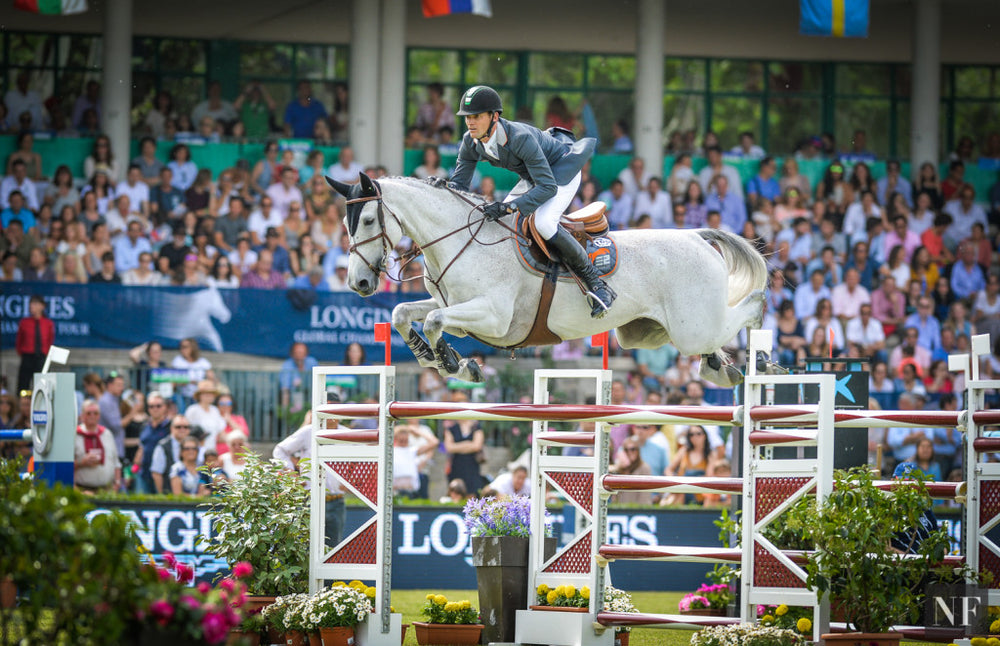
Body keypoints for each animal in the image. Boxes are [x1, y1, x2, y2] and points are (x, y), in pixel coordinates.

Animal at [326, 173, 769, 388]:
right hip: (643, 335)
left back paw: (762, 343)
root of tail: (696, 236)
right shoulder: (451, 304)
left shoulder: (495, 318)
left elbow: (434, 322)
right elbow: (404, 313)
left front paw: (453, 362)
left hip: (691, 328)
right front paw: (432, 357)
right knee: (712, 345)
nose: (358, 284)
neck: (459, 239)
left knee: (742, 313)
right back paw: (722, 368)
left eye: (369, 220)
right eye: (345, 224)